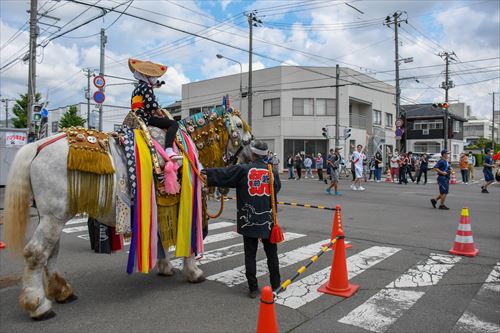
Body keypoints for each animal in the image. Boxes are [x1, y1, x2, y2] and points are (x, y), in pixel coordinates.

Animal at [3, 108, 252, 320]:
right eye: (239, 126)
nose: (254, 150)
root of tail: (38, 146)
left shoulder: (159, 206)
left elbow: (160, 239)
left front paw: (165, 267)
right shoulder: (185, 205)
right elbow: (186, 242)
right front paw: (193, 272)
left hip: (52, 216)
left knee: (52, 252)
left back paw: (62, 291)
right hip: (54, 217)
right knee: (36, 253)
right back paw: (38, 305)